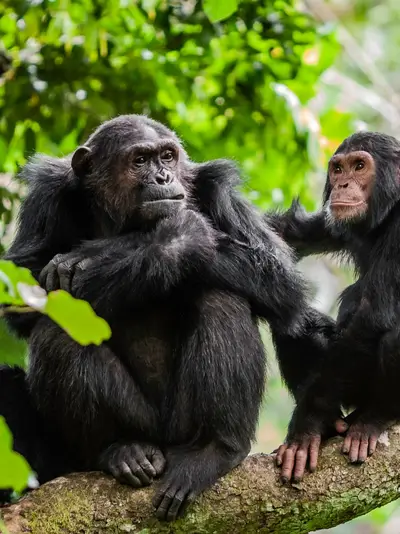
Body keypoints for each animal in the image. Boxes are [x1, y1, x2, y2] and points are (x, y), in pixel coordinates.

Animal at [1, 113, 332, 520]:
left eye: (168, 156)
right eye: (140, 160)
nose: (162, 177)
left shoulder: (219, 192)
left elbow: (278, 276)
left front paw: (149, 241)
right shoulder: (45, 198)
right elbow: (20, 285)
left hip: (182, 425)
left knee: (221, 297)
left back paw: (214, 449)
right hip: (135, 426)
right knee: (56, 332)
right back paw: (121, 450)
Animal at [274, 133, 400, 486]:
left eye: (359, 166)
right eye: (338, 168)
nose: (342, 184)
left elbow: (374, 314)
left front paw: (306, 425)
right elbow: (292, 234)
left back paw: (375, 419)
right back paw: (331, 424)